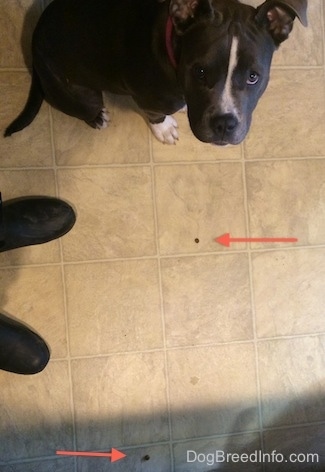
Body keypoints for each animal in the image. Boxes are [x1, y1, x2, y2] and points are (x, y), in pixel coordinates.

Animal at [3, 0, 306, 146]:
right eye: (199, 71)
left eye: (253, 76)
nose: (224, 124)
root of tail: (34, 43)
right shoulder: (148, 100)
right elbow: (155, 114)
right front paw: (164, 129)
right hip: (81, 94)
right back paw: (97, 117)